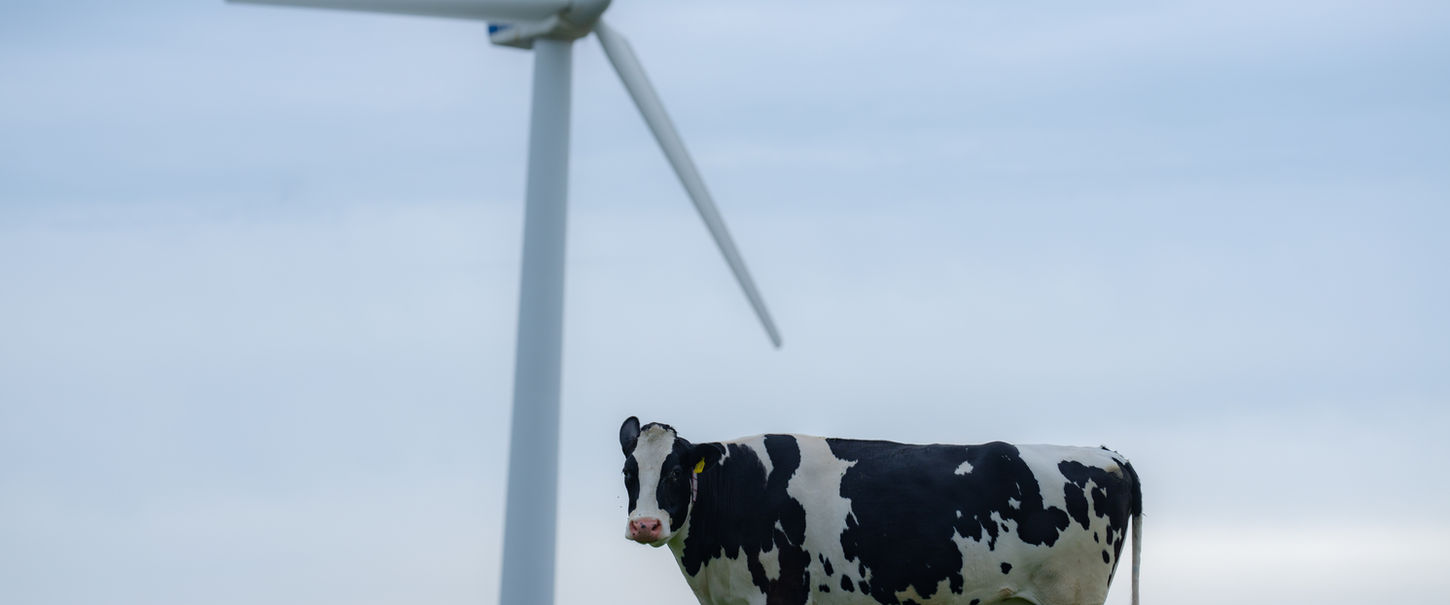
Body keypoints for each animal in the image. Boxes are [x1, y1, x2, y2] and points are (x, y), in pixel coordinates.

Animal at [619, 417, 1142, 605]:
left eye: (674, 473)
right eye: (628, 472)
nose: (645, 524)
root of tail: (1107, 453)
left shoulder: (784, 595)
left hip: (1073, 593)